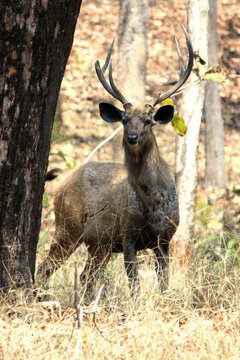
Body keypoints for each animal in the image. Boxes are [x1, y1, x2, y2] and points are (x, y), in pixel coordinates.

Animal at [36, 25, 194, 296]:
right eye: (124, 119)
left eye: (149, 120)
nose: (132, 137)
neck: (153, 202)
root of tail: (64, 178)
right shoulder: (127, 235)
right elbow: (135, 285)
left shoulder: (165, 239)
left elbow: (164, 285)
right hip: (67, 227)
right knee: (45, 269)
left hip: (98, 245)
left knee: (86, 275)